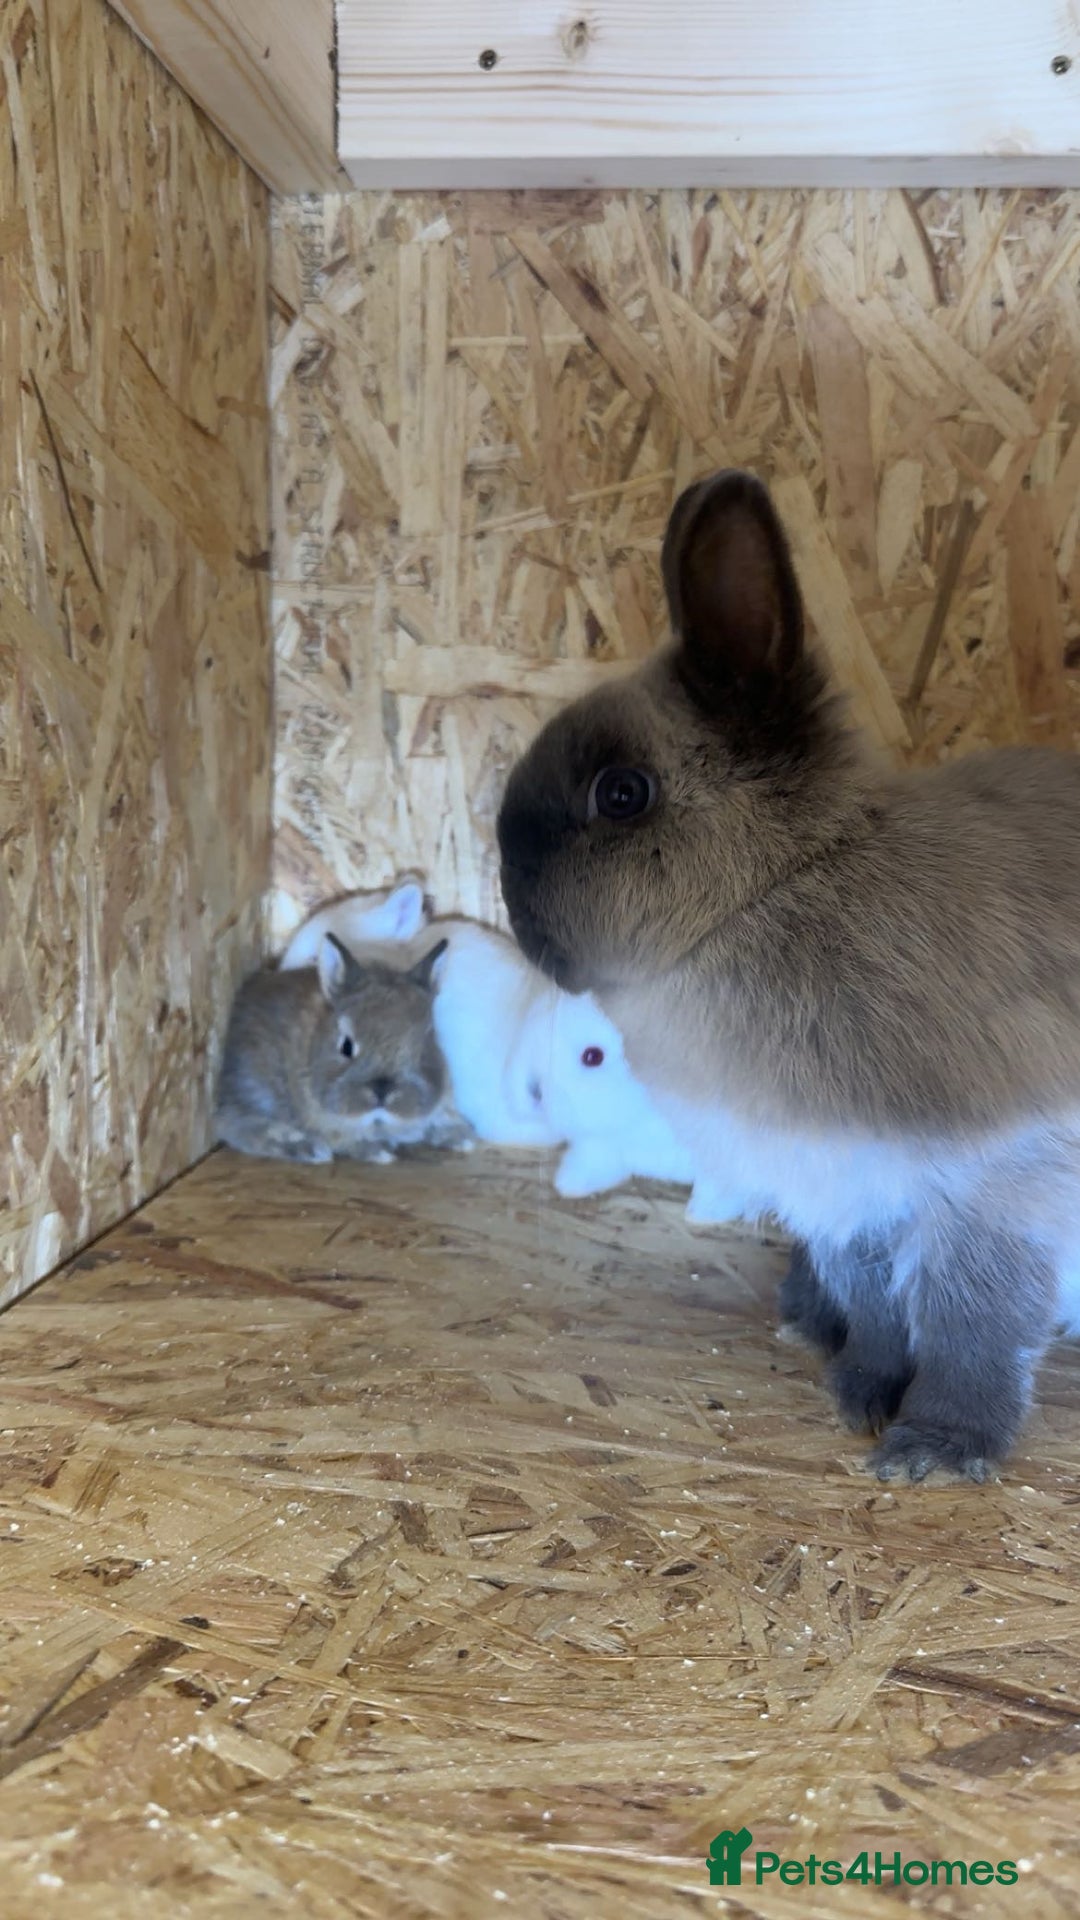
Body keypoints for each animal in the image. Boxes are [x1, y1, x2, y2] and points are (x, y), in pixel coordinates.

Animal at [216, 933, 471, 1163]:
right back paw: (311, 1149)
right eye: (346, 1046)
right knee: (248, 1129)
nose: (382, 1091)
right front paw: (379, 1154)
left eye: (424, 1045)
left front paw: (463, 1139)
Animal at [497, 466, 1080, 1483]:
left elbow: (973, 1328)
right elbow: (882, 1312)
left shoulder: (996, 1186)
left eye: (621, 794)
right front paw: (862, 1395)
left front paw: (936, 1450)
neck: (776, 891)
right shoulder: (844, 1198)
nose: (507, 898)